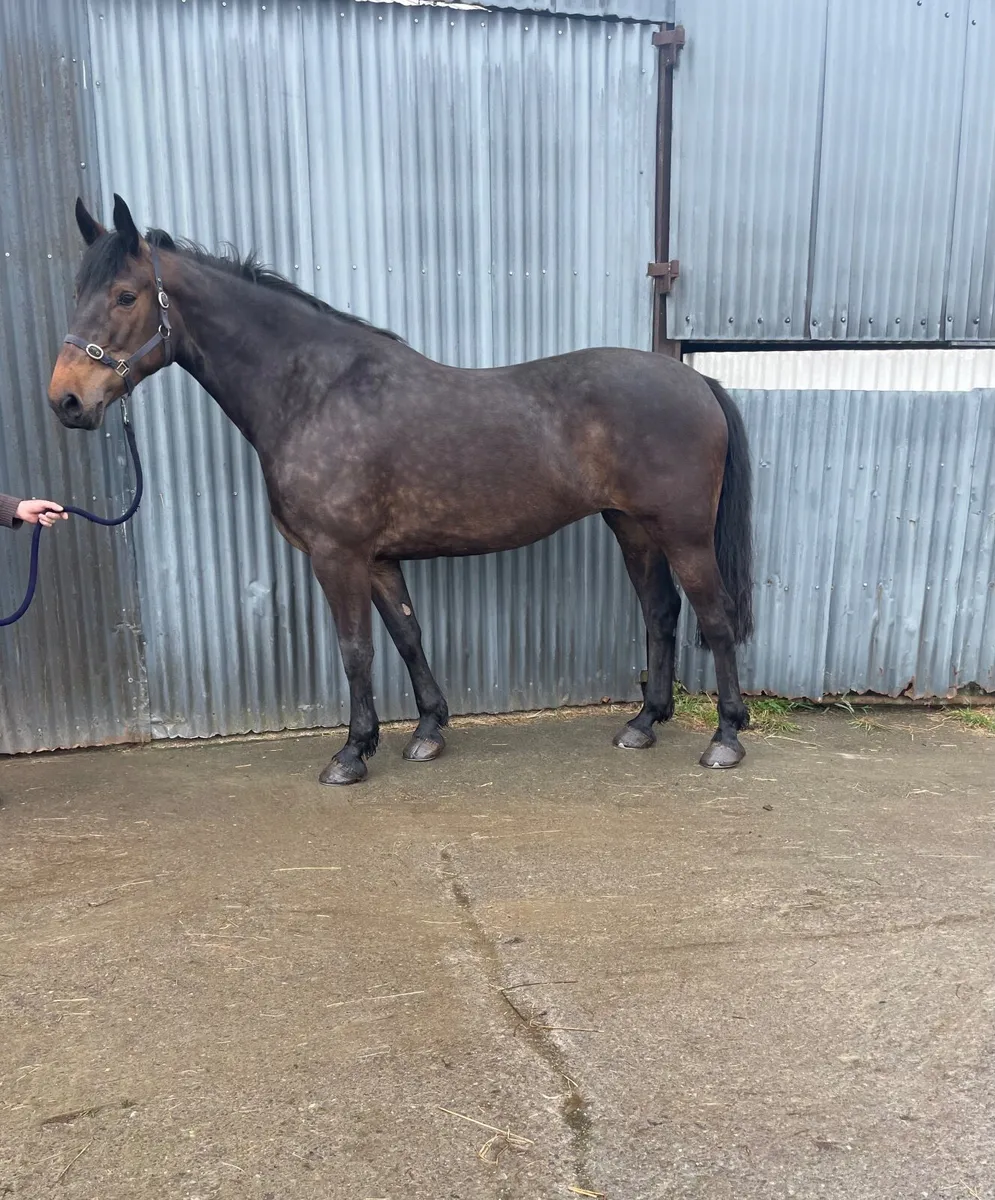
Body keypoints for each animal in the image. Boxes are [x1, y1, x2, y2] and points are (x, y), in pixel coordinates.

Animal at [48, 195, 754, 785]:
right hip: (631, 526)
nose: (67, 401)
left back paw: (725, 738)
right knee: (659, 613)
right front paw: (428, 732)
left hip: (684, 533)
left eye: (126, 295)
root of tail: (696, 382)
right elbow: (408, 637)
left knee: (715, 618)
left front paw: (351, 753)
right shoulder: (379, 558)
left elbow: (356, 651)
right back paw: (643, 723)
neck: (314, 391)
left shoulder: (337, 556)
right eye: (77, 291)